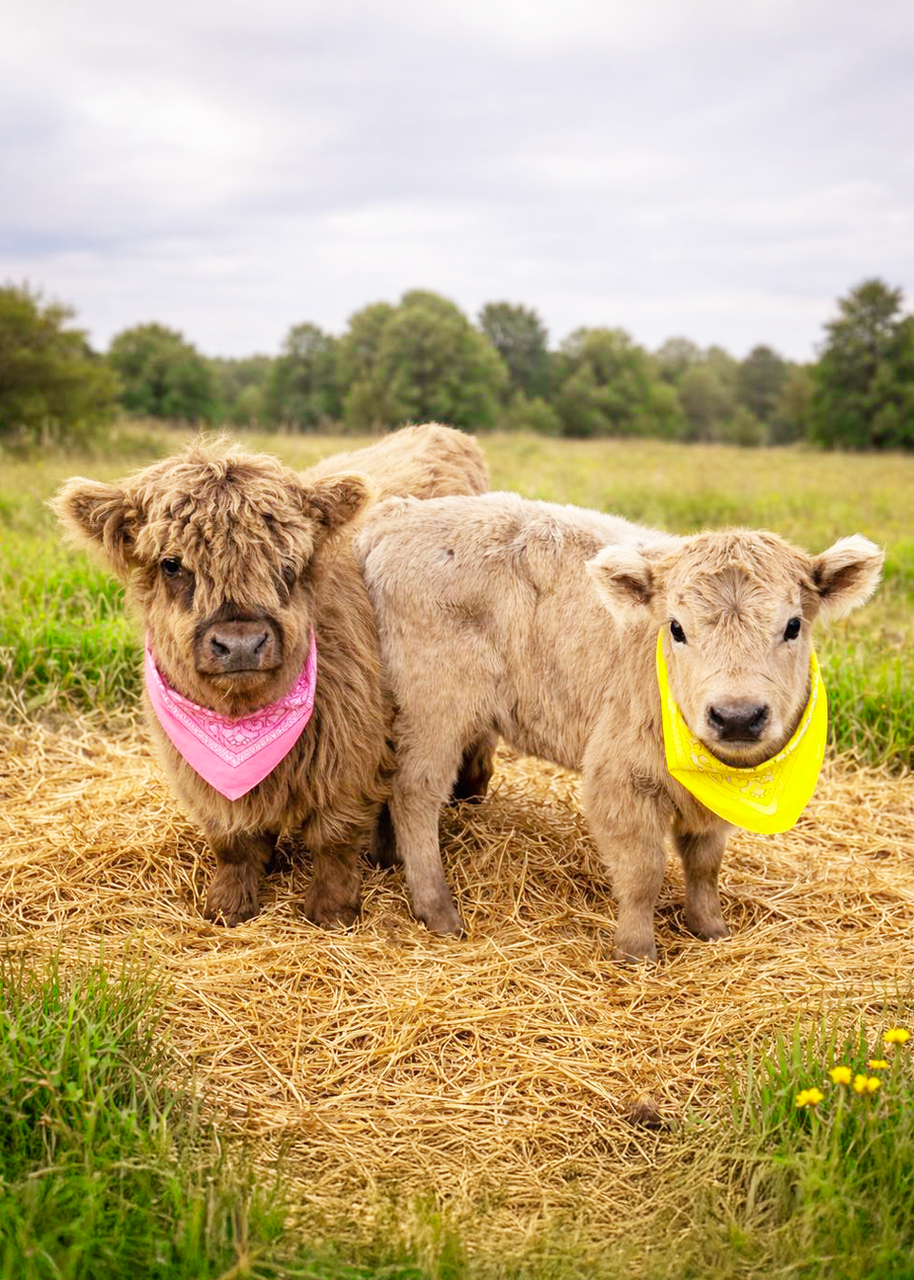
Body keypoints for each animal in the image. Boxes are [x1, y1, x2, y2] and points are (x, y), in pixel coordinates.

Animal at [53, 425, 489, 928]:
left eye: (287, 561)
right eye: (171, 563)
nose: (241, 643)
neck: (241, 721)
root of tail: (442, 432)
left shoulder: (350, 754)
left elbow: (333, 838)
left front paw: (332, 911)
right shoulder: (201, 778)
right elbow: (234, 843)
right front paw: (228, 905)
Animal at [357, 492, 884, 961]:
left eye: (793, 626)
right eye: (676, 628)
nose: (737, 715)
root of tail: (395, 515)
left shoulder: (709, 808)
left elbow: (704, 862)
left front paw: (710, 928)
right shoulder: (621, 778)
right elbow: (642, 871)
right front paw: (636, 951)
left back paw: (385, 859)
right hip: (435, 707)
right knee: (415, 793)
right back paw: (437, 909)